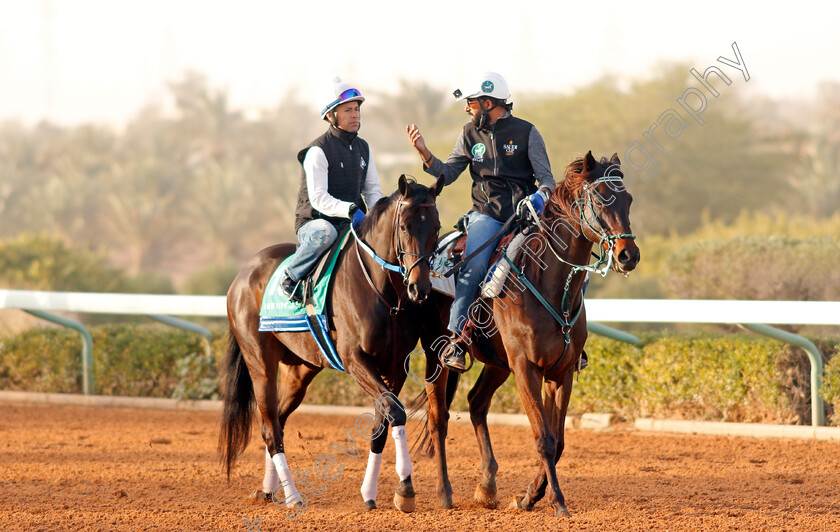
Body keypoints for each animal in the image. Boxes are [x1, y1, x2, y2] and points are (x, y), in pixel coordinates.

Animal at [221, 177, 446, 512]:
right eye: (405, 226)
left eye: (436, 226)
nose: (420, 288)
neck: (383, 293)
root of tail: (243, 274)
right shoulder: (356, 360)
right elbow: (396, 411)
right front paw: (405, 486)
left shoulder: (395, 366)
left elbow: (382, 423)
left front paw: (370, 492)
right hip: (260, 363)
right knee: (271, 428)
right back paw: (293, 496)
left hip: (300, 371)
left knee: (276, 422)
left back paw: (268, 489)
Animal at [416, 153, 640, 516]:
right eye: (599, 199)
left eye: (628, 199)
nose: (628, 255)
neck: (547, 283)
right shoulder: (526, 367)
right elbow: (543, 438)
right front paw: (556, 502)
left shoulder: (561, 372)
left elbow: (558, 440)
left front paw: (529, 496)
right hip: (437, 356)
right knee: (439, 418)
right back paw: (443, 493)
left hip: (497, 363)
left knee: (476, 403)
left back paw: (486, 486)